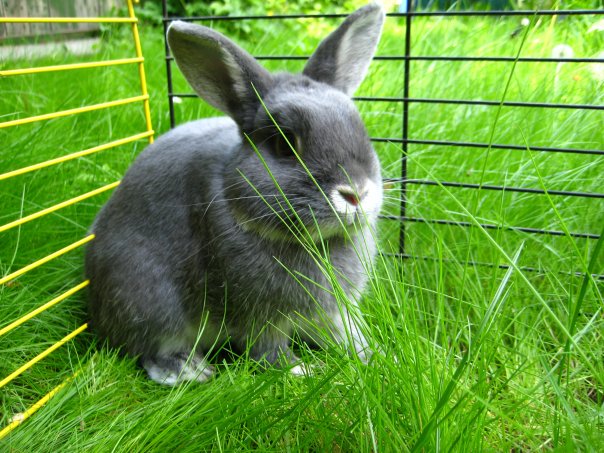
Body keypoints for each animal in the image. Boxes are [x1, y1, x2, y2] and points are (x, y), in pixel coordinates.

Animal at [85, 3, 385, 385]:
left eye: (360, 129)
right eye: (283, 143)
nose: (356, 193)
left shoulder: (334, 311)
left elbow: (345, 332)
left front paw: (374, 356)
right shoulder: (258, 317)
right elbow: (268, 350)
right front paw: (301, 371)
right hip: (148, 297)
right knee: (149, 349)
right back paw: (189, 370)